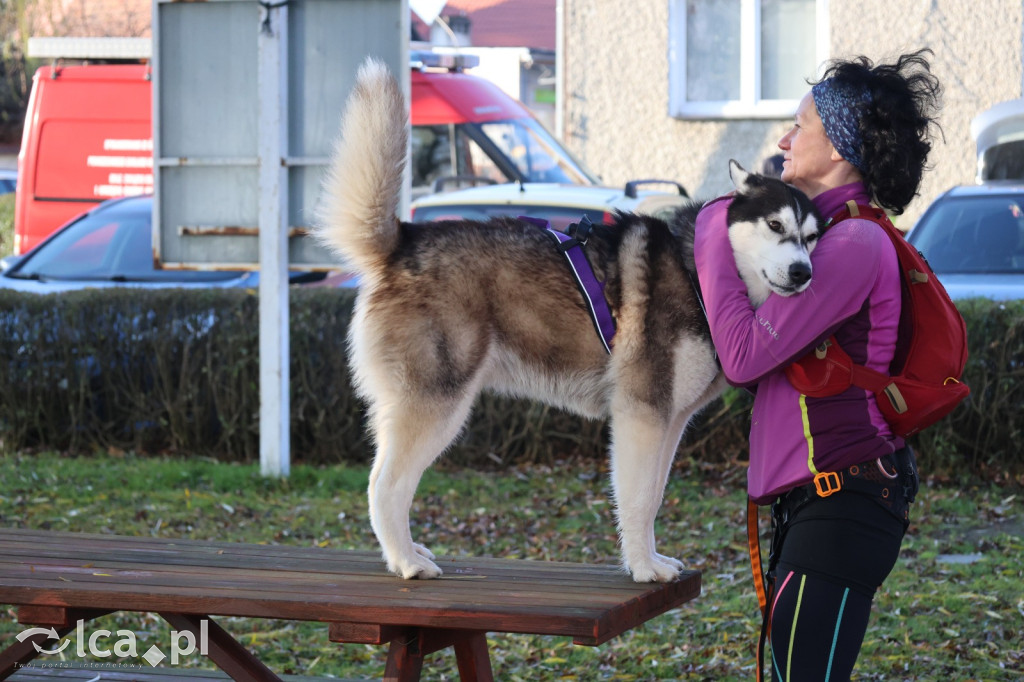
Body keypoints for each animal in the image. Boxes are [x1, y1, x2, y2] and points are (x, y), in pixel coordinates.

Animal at [311, 58, 823, 577]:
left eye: (812, 237)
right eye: (775, 225)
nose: (803, 273)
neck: (697, 267)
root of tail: (405, 239)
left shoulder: (671, 421)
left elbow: (654, 497)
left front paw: (652, 557)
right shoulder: (642, 414)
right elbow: (639, 499)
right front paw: (642, 567)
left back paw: (411, 551)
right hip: (437, 406)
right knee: (384, 487)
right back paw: (406, 561)